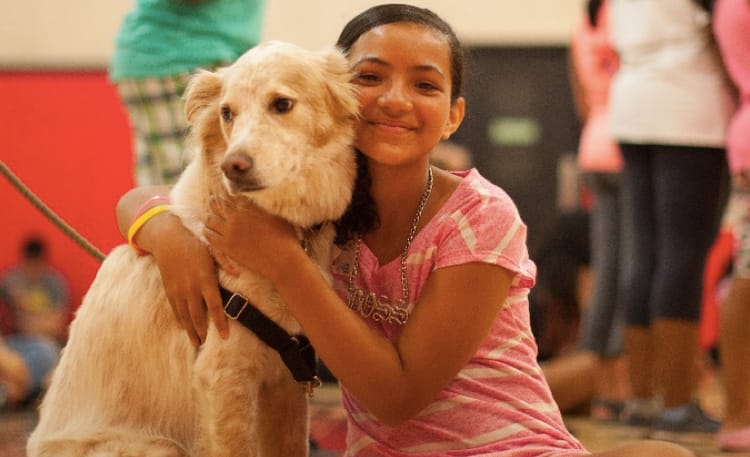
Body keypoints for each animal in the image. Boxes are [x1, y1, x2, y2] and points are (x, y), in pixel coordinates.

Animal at [27, 40, 360, 456]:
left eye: (282, 104)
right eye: (227, 113)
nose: (234, 166)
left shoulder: (286, 383)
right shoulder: (224, 377)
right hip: (158, 446)